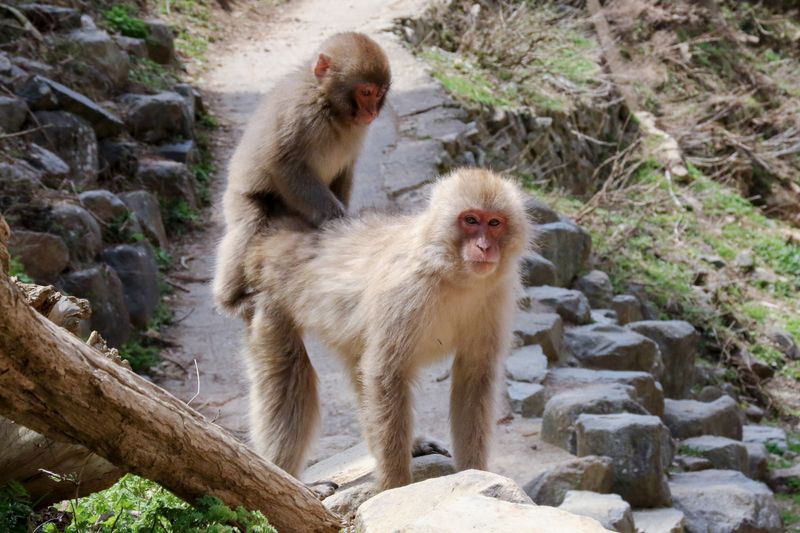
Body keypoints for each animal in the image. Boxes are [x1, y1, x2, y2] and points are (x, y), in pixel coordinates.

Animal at [213, 32, 391, 316]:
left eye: (379, 93)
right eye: (366, 92)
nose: (372, 111)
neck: (329, 106)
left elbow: (345, 169)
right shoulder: (298, 113)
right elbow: (284, 165)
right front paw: (337, 221)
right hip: (240, 196)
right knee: (247, 225)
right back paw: (230, 299)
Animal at [242, 168, 531, 491]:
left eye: (494, 223)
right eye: (470, 220)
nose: (484, 247)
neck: (453, 274)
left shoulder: (495, 297)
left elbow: (474, 376)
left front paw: (475, 471)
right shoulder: (405, 291)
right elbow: (386, 374)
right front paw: (396, 486)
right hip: (272, 303)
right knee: (290, 371)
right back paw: (285, 475)